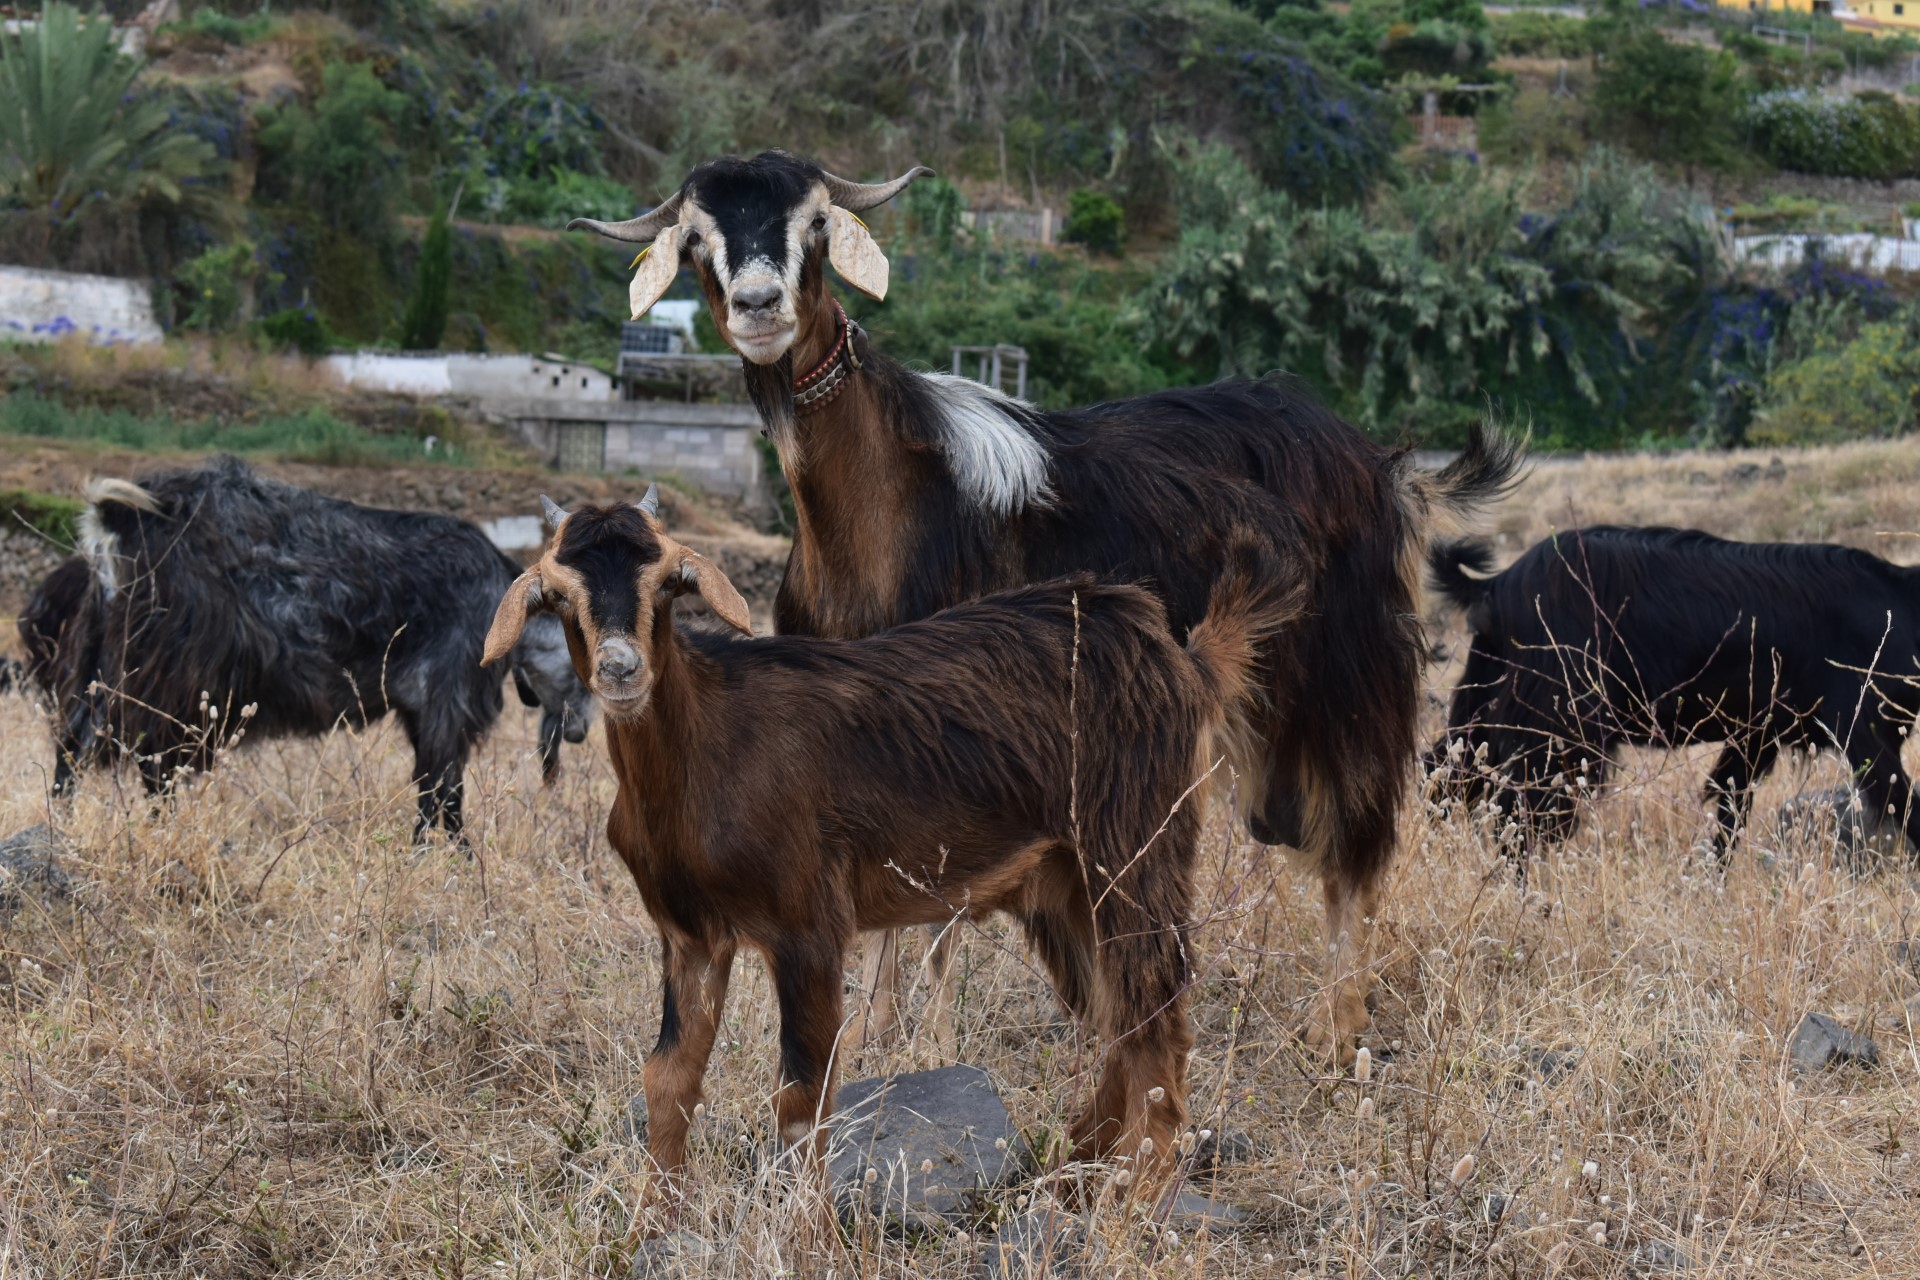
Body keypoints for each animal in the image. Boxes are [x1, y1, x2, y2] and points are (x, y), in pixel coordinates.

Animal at [480, 487, 1297, 1205]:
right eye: (558, 593)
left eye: (669, 580)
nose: (620, 669)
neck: (705, 745)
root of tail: (1180, 659)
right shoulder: (690, 936)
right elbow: (669, 1077)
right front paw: (655, 1221)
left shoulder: (809, 924)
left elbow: (802, 1095)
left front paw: (809, 1241)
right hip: (1064, 885)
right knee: (1117, 1010)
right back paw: (1079, 1165)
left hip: (1135, 846)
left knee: (1156, 1001)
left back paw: (1137, 1195)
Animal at [560, 150, 1520, 1059]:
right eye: (695, 241)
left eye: (819, 223)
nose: (760, 306)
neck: (885, 498)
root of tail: (1384, 465)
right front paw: (874, 1031)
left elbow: (942, 888)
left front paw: (932, 1040)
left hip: (1346, 677)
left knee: (1356, 844)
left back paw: (1335, 1028)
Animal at [1436, 525, 1920, 867]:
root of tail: (1499, 583)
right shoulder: (1864, 733)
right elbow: (1907, 804)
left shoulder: (1754, 739)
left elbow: (1729, 815)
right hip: (1559, 727)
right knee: (1516, 811)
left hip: (1489, 703)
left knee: (1445, 774)